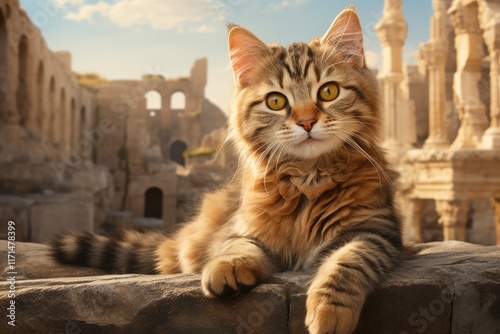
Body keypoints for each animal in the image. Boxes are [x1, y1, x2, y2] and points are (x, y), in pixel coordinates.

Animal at [49, 8, 402, 334]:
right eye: (276, 101)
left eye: (328, 92)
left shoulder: (375, 230)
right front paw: (227, 268)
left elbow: (347, 262)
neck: (307, 177)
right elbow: (238, 247)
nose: (306, 122)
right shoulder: (243, 229)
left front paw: (329, 311)